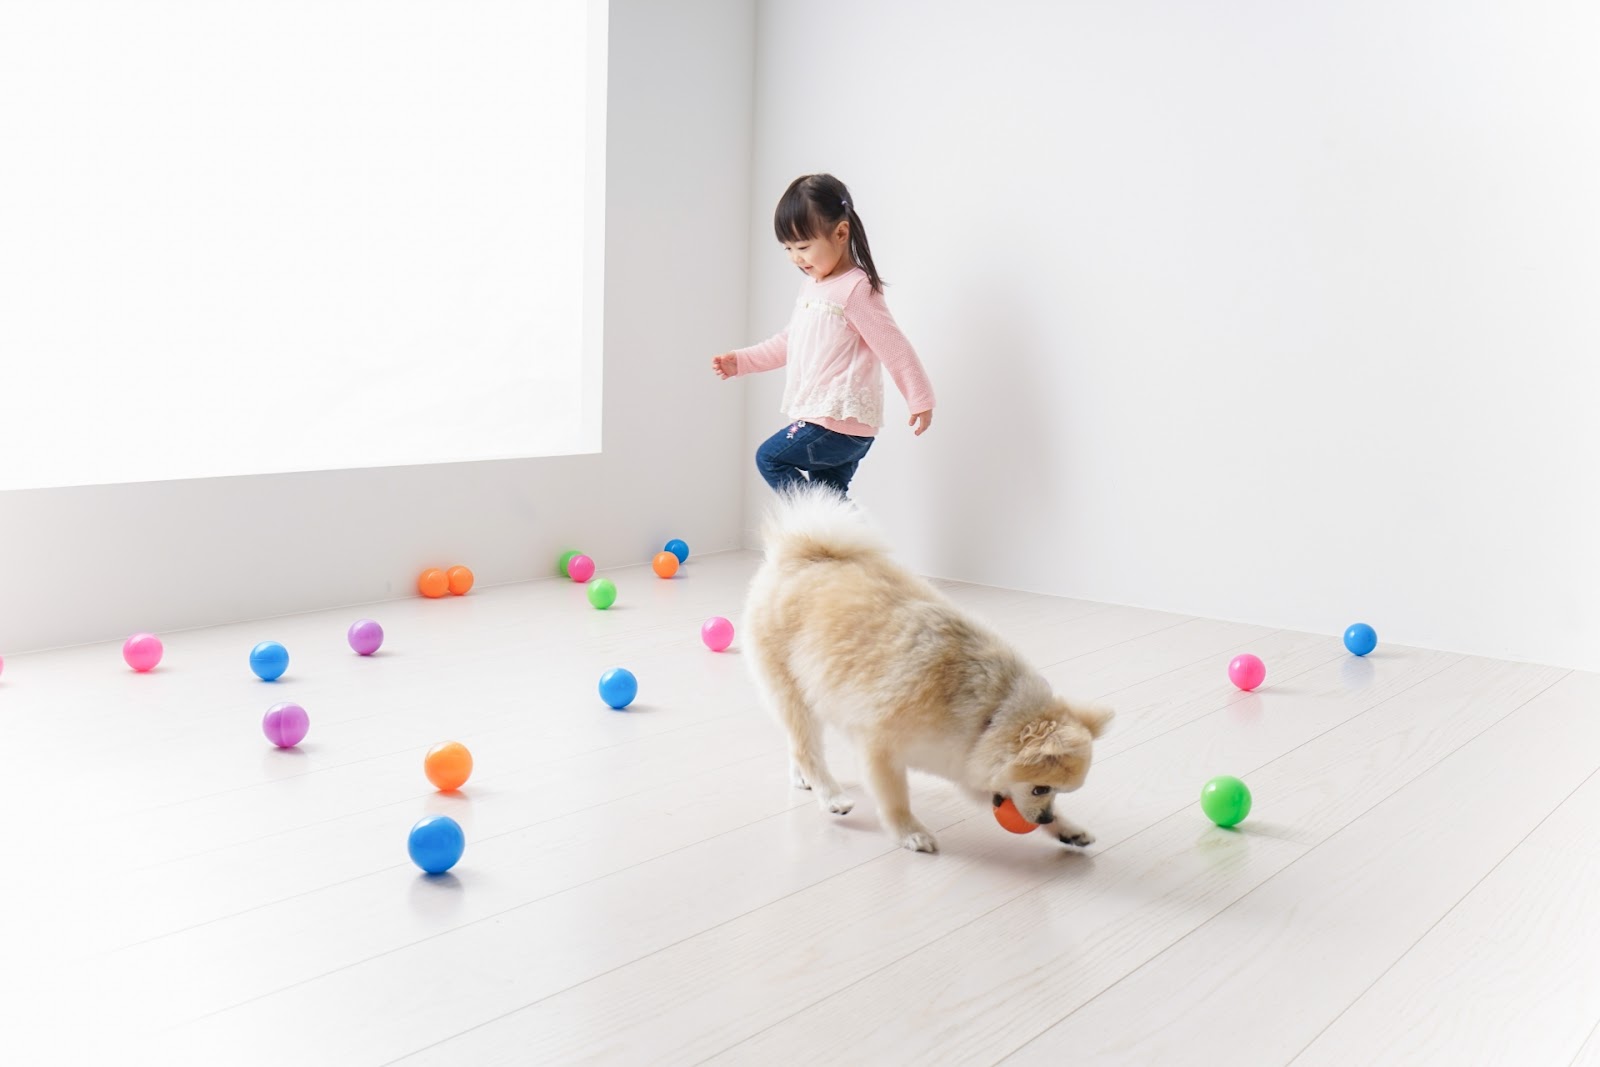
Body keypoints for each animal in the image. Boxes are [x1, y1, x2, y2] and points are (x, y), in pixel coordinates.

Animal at [739, 489, 1107, 857]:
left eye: (1059, 794)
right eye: (1040, 789)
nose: (1045, 817)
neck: (990, 715)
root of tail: (805, 553)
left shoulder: (967, 763)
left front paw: (1068, 830)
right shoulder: (880, 748)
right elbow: (895, 799)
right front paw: (910, 832)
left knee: (797, 743)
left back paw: (803, 779)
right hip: (793, 691)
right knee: (807, 748)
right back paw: (830, 796)